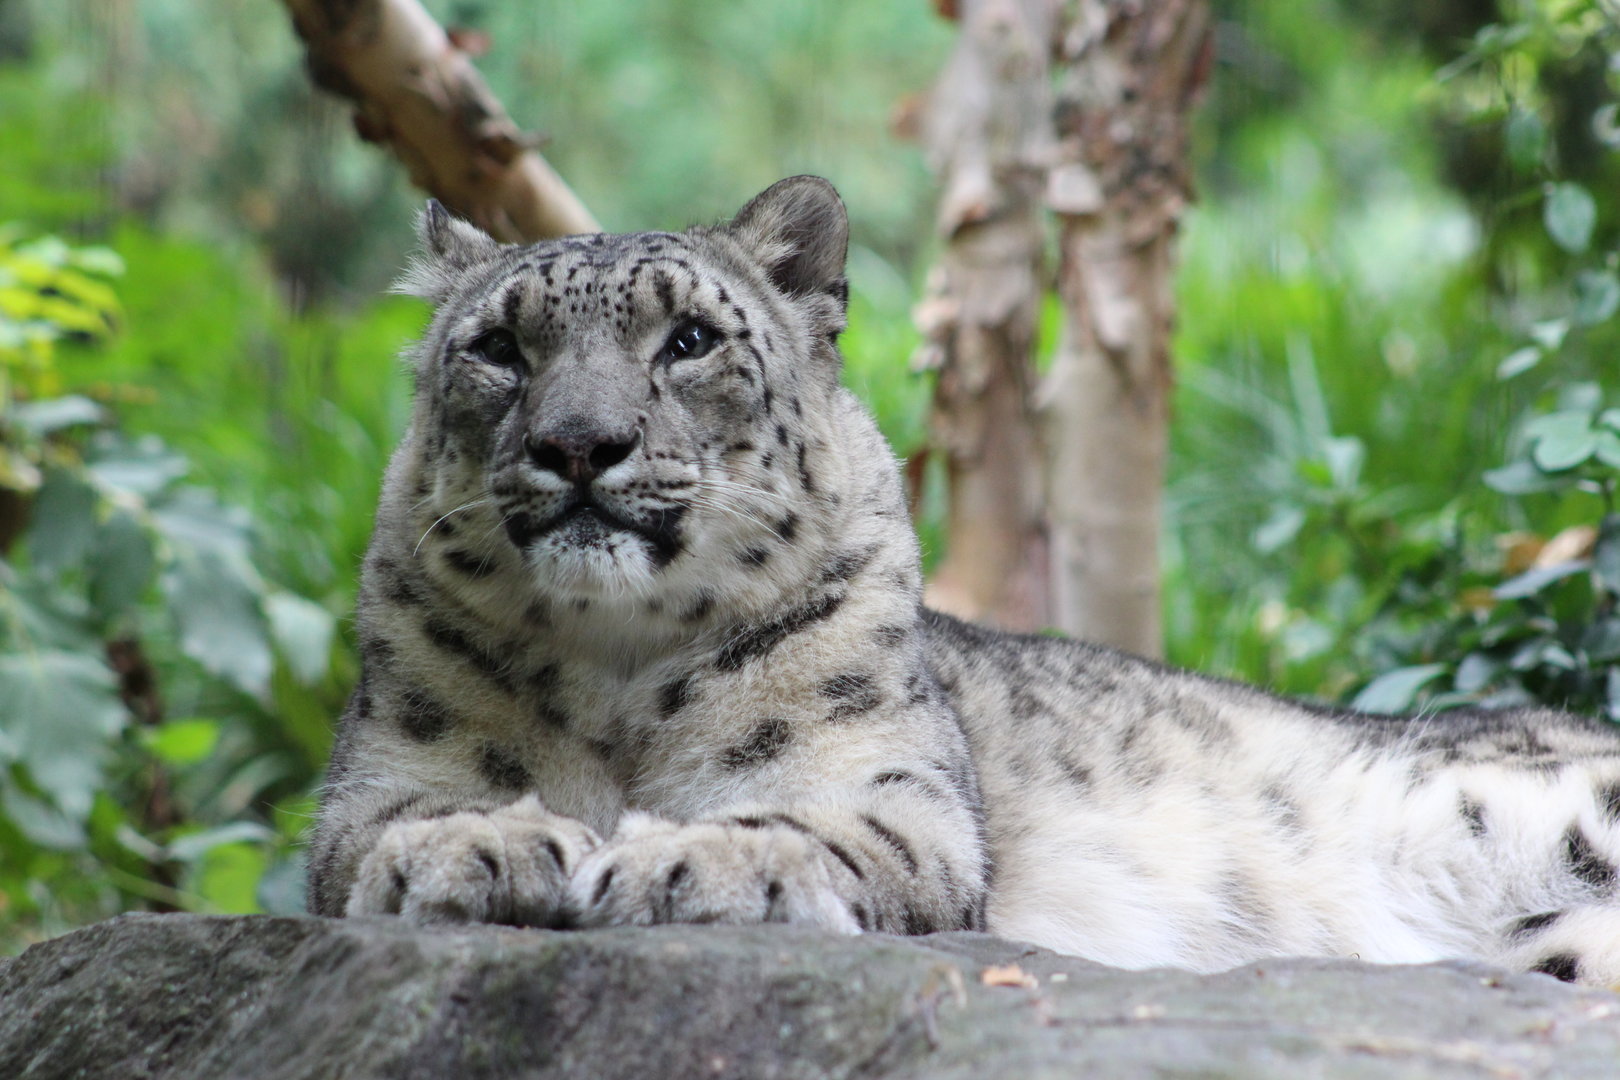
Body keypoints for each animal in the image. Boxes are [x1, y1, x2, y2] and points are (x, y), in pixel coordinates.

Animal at [308, 175, 1620, 987]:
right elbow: (388, 831)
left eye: (689, 340)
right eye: (497, 347)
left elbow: (808, 826)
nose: (580, 445)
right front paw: (480, 848)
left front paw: (678, 859)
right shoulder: (383, 776)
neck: (617, 671)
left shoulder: (887, 786)